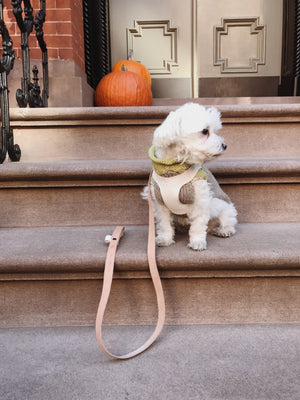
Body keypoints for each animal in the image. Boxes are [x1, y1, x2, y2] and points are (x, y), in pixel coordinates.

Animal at [144, 102, 238, 250]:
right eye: (205, 131)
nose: (225, 145)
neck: (173, 168)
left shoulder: (199, 199)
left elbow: (198, 225)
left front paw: (197, 241)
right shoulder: (160, 203)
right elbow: (164, 224)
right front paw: (165, 239)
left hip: (223, 206)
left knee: (228, 220)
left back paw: (223, 230)